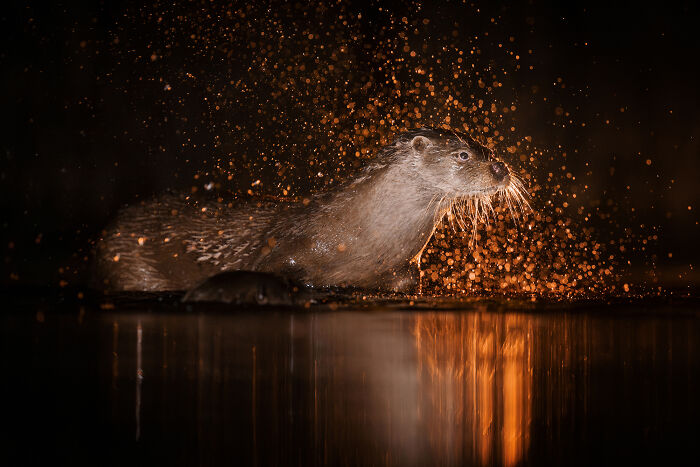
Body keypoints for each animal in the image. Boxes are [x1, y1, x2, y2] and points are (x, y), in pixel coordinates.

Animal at [96, 127, 528, 294]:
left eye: (488, 149)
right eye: (463, 155)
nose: (501, 169)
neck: (356, 239)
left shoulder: (402, 274)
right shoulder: (287, 252)